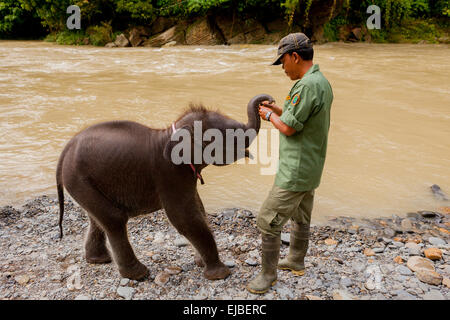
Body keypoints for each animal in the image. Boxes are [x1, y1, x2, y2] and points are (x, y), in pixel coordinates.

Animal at [56, 94, 274, 282]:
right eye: (230, 136)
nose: (269, 101)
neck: (173, 131)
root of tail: (66, 150)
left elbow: (199, 209)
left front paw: (199, 262)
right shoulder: (170, 173)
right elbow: (183, 217)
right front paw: (220, 275)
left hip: (84, 183)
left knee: (97, 219)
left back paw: (99, 260)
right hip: (79, 179)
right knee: (114, 219)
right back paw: (139, 275)